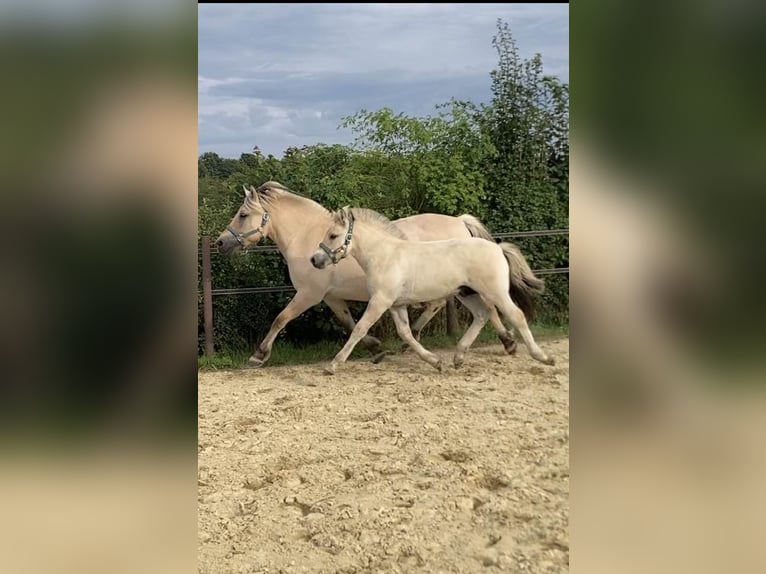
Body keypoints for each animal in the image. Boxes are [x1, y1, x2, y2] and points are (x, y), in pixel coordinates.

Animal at [215, 181, 531, 367]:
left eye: (243, 215)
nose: (220, 243)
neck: (307, 238)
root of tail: (460, 222)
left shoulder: (308, 294)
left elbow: (280, 319)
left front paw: (258, 355)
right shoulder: (331, 297)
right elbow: (349, 322)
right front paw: (376, 349)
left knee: (471, 306)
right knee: (475, 308)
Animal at [311, 206, 554, 374]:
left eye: (333, 235)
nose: (315, 260)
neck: (385, 255)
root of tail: (498, 248)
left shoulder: (380, 301)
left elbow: (360, 329)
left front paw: (333, 365)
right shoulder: (396, 305)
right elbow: (406, 334)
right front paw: (436, 362)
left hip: (495, 292)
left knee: (516, 315)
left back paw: (543, 357)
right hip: (467, 293)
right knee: (482, 315)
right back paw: (458, 358)